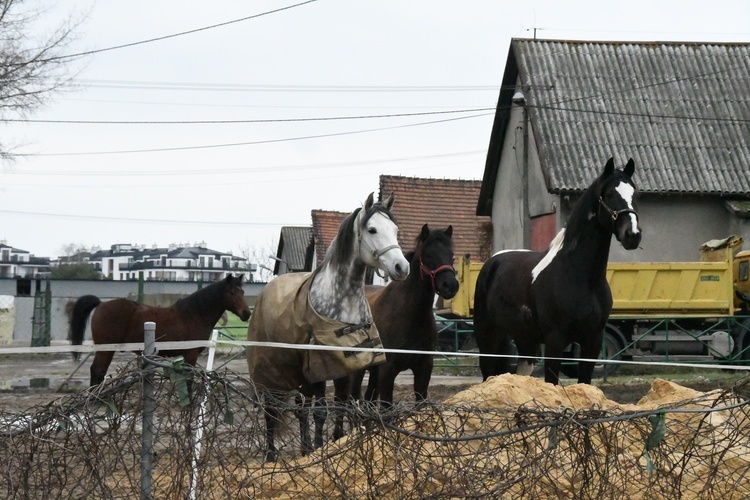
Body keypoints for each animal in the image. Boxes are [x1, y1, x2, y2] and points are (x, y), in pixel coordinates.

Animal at [68, 274, 250, 386]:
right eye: (231, 292)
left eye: (242, 291)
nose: (246, 313)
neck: (195, 313)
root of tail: (101, 304)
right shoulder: (190, 355)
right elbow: (189, 381)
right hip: (105, 350)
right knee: (97, 370)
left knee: (100, 372)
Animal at [248, 192, 412, 460]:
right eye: (372, 229)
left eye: (395, 229)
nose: (402, 267)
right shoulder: (319, 369)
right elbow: (321, 412)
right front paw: (319, 451)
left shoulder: (345, 368)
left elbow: (340, 407)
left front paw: (332, 444)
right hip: (269, 373)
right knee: (271, 412)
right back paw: (271, 455)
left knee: (300, 409)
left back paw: (304, 449)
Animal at [476, 158, 640, 384]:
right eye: (609, 195)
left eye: (634, 194)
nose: (633, 235)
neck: (581, 276)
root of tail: (492, 262)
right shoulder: (555, 341)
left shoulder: (592, 341)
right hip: (489, 338)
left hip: (525, 340)